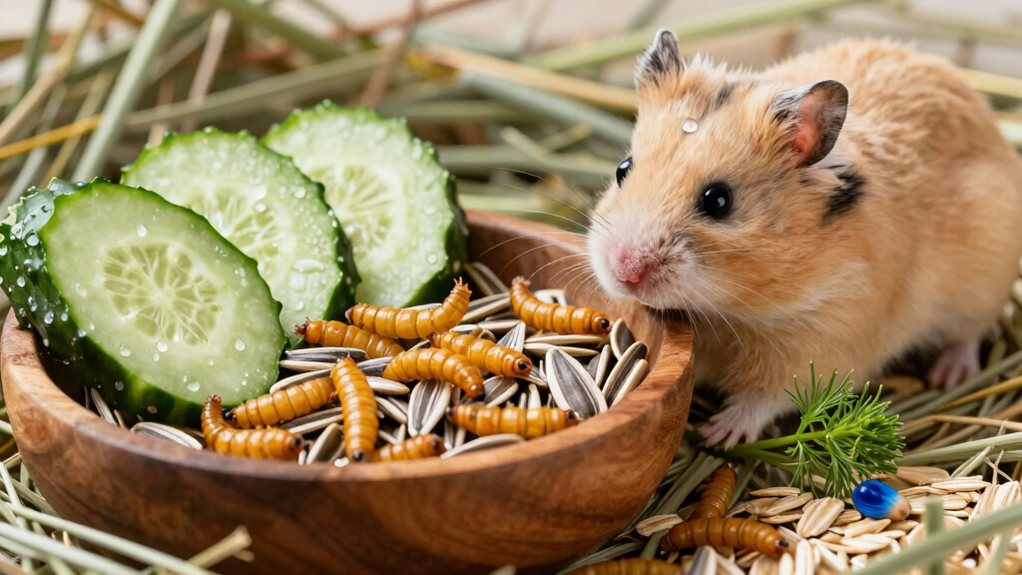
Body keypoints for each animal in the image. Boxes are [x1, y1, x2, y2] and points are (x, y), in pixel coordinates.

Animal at [586, 31, 1022, 448]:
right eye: (623, 169)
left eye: (718, 201)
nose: (624, 272)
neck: (729, 311)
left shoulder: (822, 345)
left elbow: (763, 400)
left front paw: (718, 434)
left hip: (981, 287)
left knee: (969, 335)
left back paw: (949, 374)